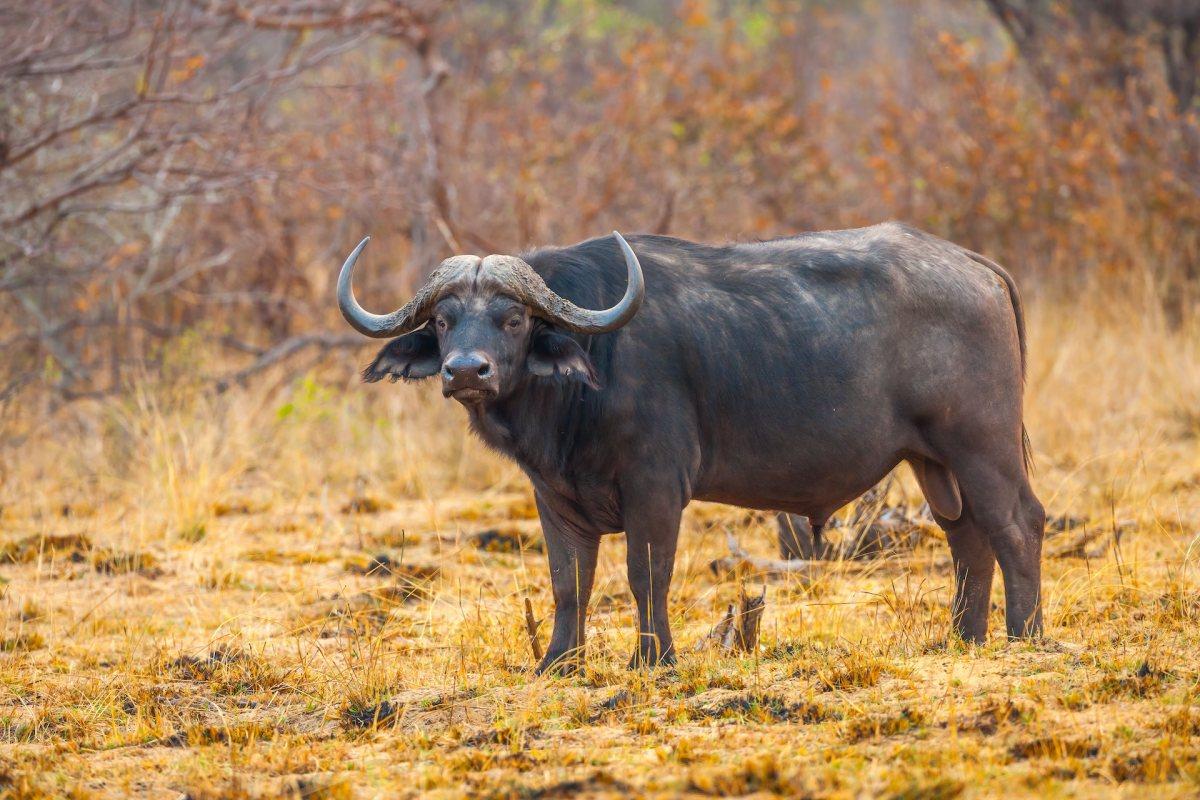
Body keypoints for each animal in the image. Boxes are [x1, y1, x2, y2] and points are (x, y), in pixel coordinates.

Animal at [336, 221, 1041, 671]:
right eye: (443, 321)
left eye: (512, 318)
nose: (466, 371)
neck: (591, 372)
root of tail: (976, 266)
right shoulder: (555, 498)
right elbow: (569, 582)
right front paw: (558, 663)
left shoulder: (655, 487)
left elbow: (646, 573)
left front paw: (652, 659)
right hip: (934, 462)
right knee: (966, 536)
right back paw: (964, 639)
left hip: (981, 444)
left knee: (1017, 524)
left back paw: (1023, 635)